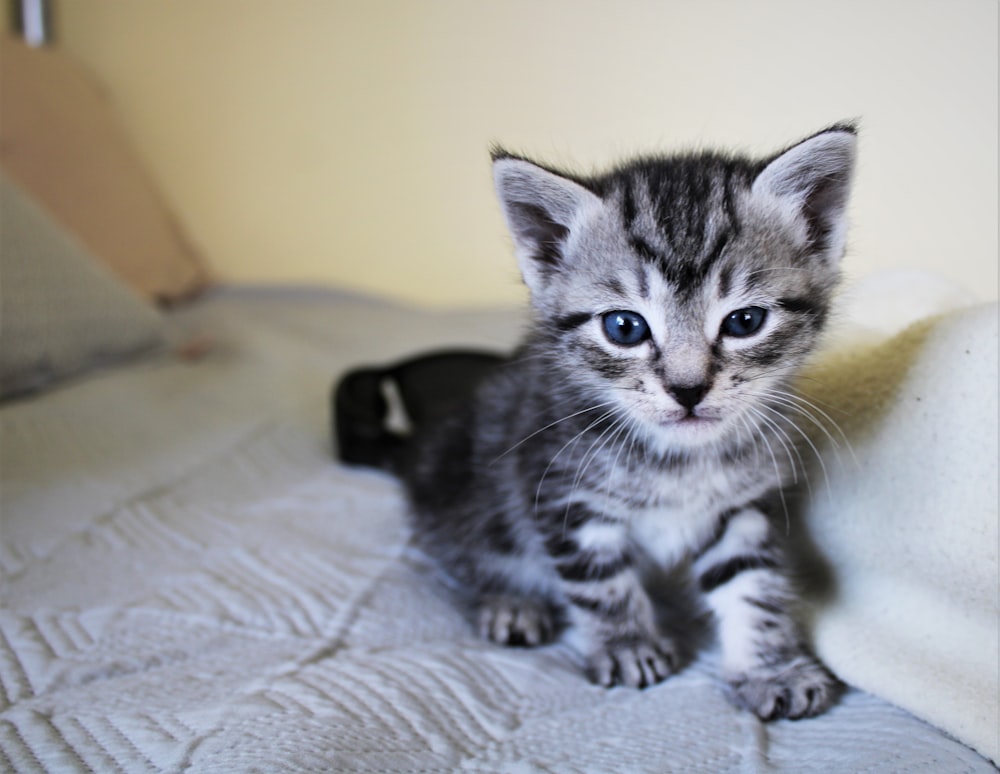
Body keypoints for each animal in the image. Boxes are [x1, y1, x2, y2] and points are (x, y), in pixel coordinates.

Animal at [406, 124, 860, 724]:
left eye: (745, 321)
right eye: (625, 327)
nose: (688, 390)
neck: (679, 460)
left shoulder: (740, 505)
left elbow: (753, 583)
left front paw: (772, 668)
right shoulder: (561, 490)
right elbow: (601, 581)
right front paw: (627, 647)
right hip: (468, 482)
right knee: (469, 549)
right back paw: (511, 601)